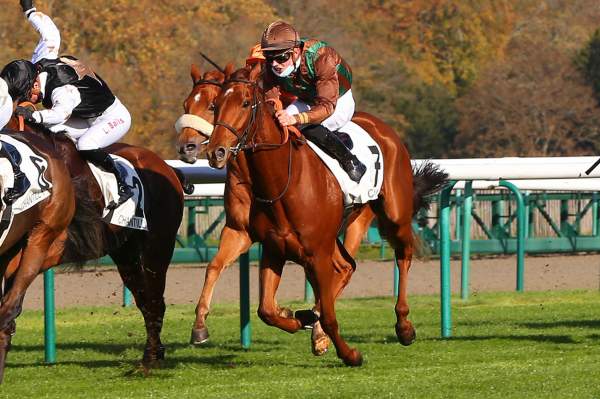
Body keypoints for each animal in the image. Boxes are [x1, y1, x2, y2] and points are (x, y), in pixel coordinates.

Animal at [0, 115, 183, 382]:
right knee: (145, 300)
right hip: (126, 254)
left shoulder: (52, 241)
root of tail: (168, 168)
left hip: (157, 247)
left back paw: (149, 361)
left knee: (155, 300)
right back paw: (154, 354)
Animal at [176, 62, 378, 354]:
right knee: (343, 268)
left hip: (355, 221)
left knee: (342, 269)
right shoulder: (240, 229)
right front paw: (200, 326)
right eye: (187, 103)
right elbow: (214, 265)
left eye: (212, 106)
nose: (186, 147)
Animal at [205, 65, 446, 366]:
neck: (283, 181)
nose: (216, 152)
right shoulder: (275, 248)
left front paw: (350, 354)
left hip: (394, 215)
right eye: (216, 105)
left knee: (403, 255)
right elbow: (266, 310)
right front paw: (298, 317)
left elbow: (330, 317)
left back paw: (404, 326)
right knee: (347, 266)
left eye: (246, 103)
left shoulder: (317, 251)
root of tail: (384, 129)